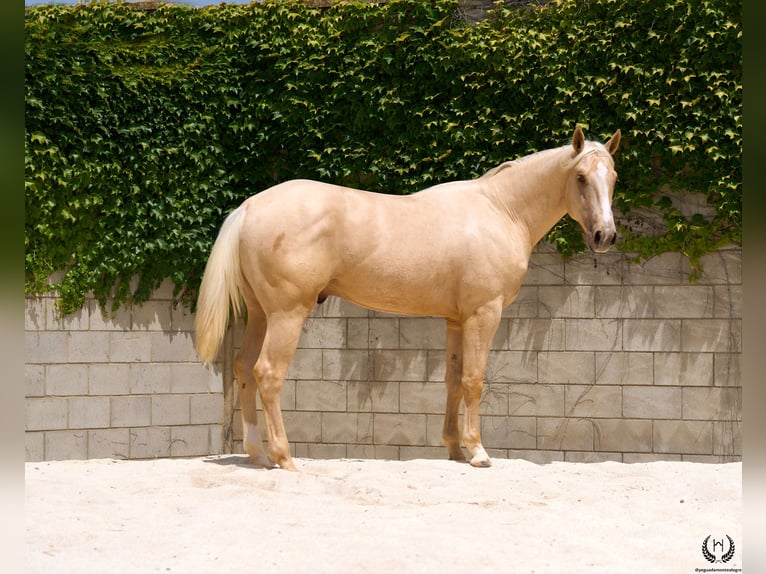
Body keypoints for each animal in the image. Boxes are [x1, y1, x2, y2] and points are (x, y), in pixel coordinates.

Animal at [195, 126, 621, 471]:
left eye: (614, 176)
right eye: (581, 177)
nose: (605, 236)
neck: (501, 209)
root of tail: (250, 206)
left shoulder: (456, 319)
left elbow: (453, 379)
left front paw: (455, 449)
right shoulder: (483, 314)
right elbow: (474, 379)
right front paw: (478, 452)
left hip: (259, 314)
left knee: (244, 368)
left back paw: (258, 454)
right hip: (287, 314)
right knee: (268, 372)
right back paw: (284, 457)